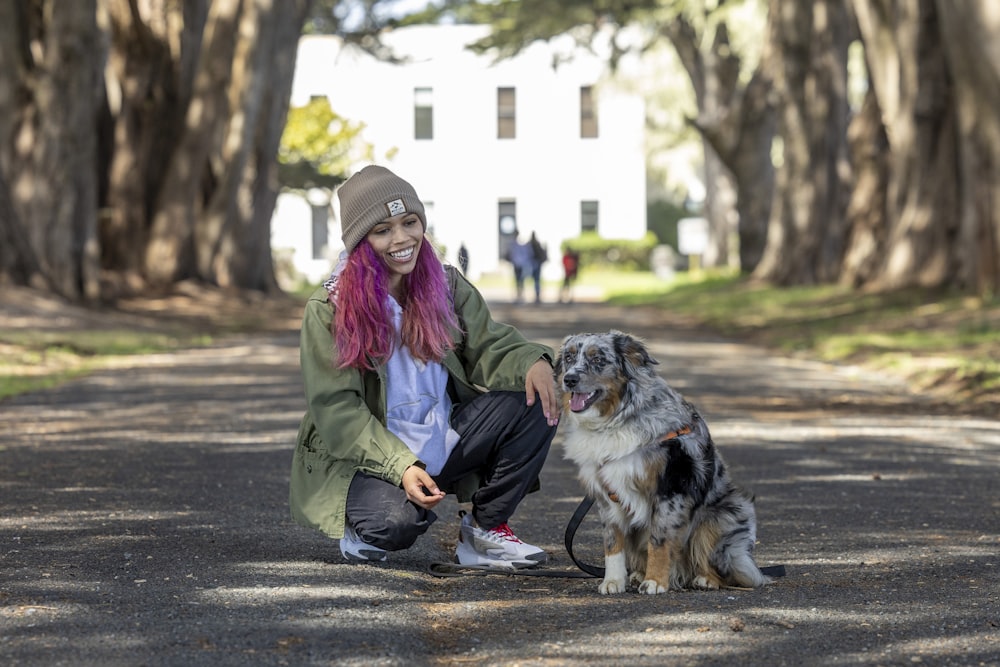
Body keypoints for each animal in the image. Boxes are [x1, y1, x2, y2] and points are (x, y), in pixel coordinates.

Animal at [552, 332, 768, 596]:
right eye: (569, 357)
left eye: (598, 360)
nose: (569, 379)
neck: (616, 419)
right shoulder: (607, 496)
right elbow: (613, 543)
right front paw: (613, 581)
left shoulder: (669, 491)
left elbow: (659, 541)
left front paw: (655, 581)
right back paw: (637, 575)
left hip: (721, 517)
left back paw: (704, 579)